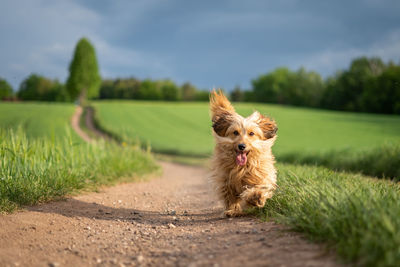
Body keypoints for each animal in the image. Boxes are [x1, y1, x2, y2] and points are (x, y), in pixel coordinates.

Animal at [209, 90, 278, 218]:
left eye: (251, 133)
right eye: (235, 132)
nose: (241, 146)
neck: (242, 167)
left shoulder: (260, 174)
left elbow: (260, 186)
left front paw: (256, 196)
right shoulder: (226, 179)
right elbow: (230, 196)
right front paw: (233, 210)